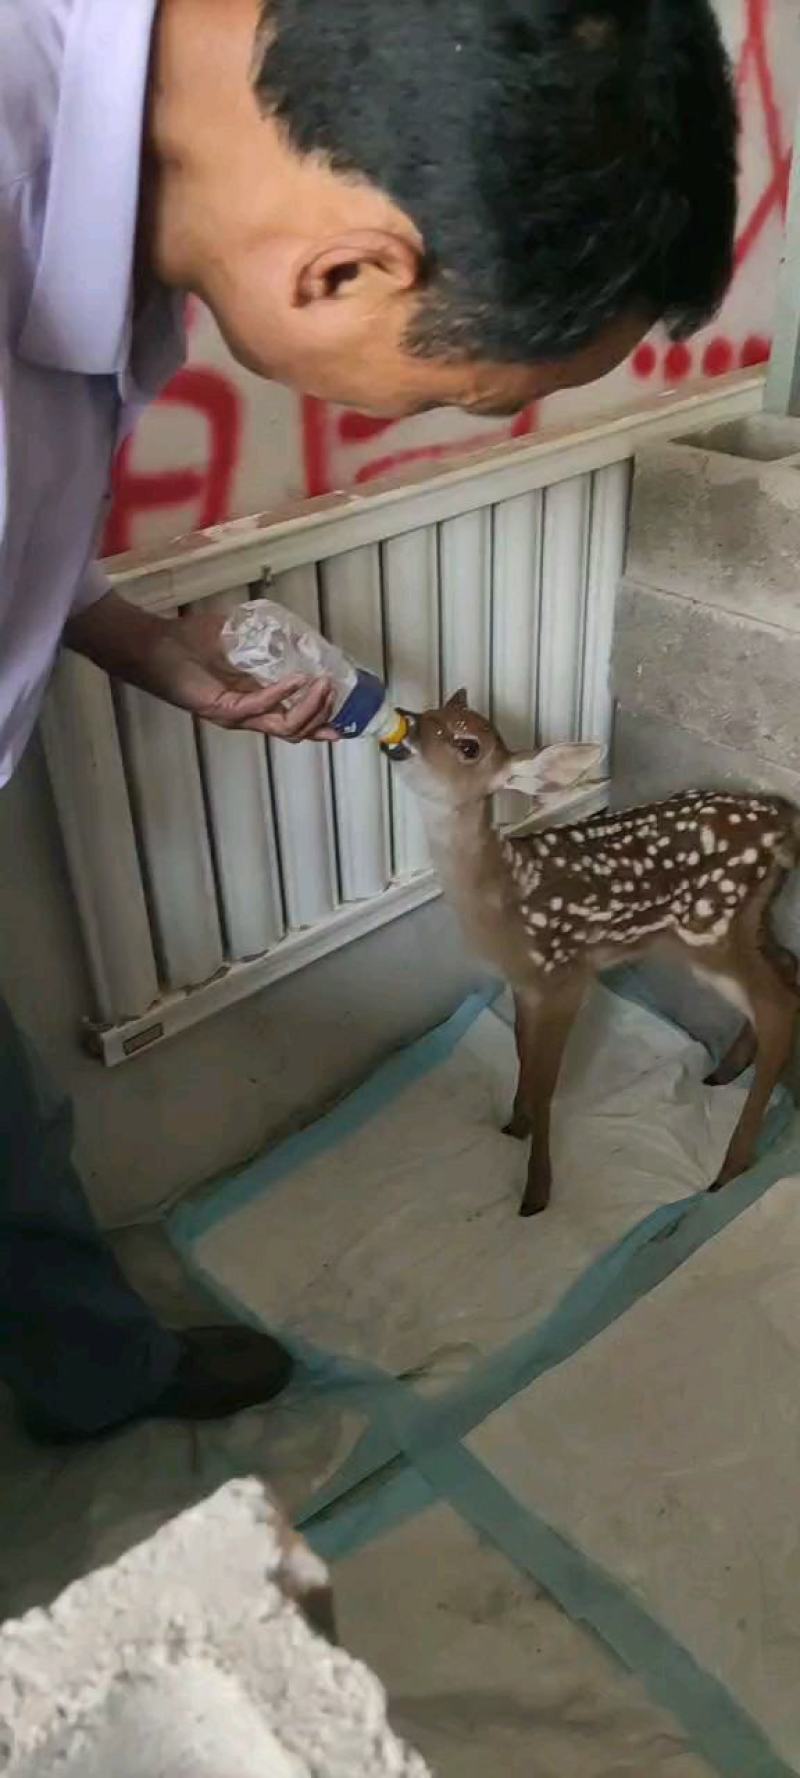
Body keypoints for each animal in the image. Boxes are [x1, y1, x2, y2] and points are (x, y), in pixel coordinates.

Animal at [383, 691, 800, 1217]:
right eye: (431, 710)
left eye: (468, 745)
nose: (405, 723)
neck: (506, 895)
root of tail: (780, 816)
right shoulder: (525, 983)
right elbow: (523, 1053)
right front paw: (514, 1126)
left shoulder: (566, 974)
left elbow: (546, 1080)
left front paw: (536, 1192)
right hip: (745, 919)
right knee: (788, 968)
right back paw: (724, 1074)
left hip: (709, 928)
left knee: (778, 1007)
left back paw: (730, 1168)